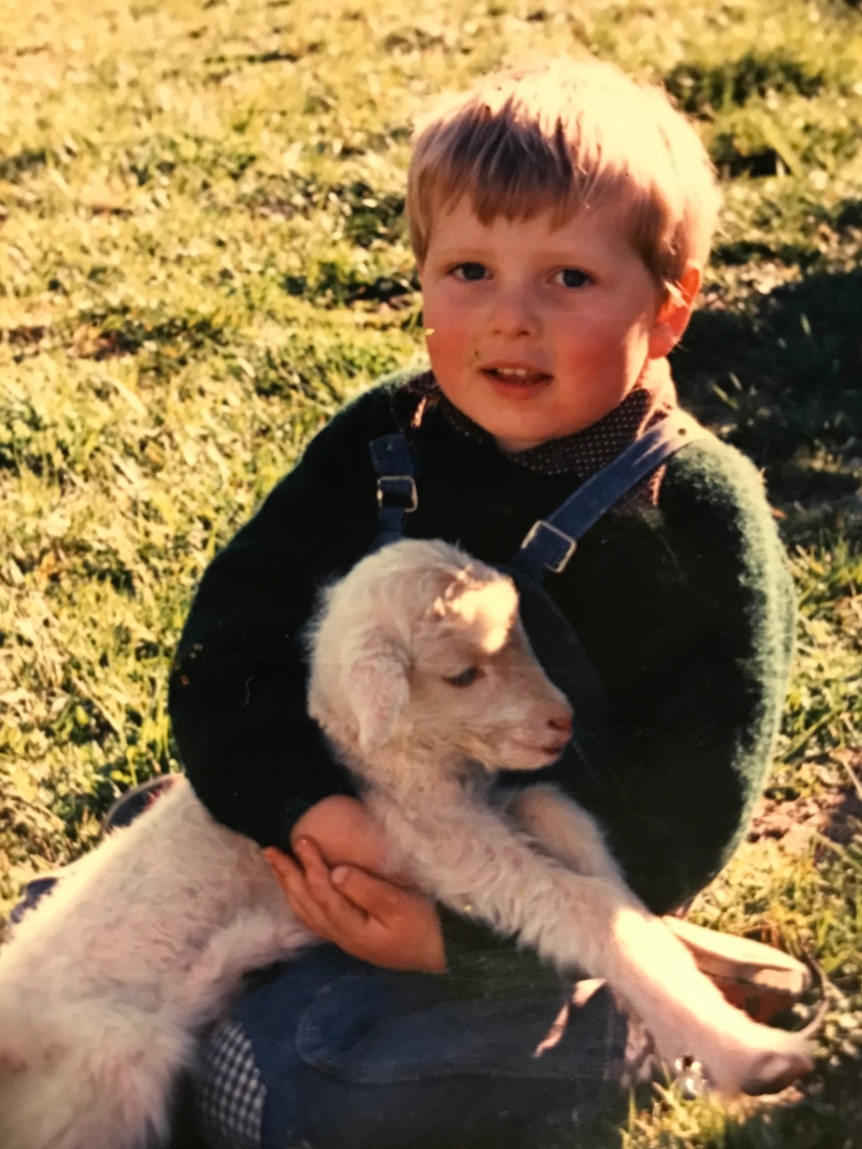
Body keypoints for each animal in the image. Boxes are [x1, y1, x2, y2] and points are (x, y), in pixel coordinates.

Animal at [0, 540, 813, 1149]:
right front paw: (750, 1053)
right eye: (462, 674)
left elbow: (571, 831)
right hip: (113, 1068)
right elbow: (580, 910)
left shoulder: (489, 812)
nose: (561, 720)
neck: (392, 769)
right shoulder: (437, 845)